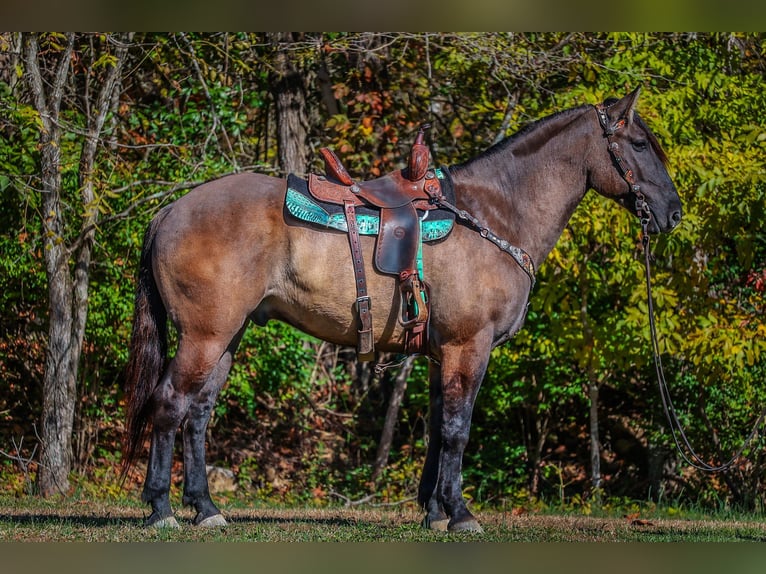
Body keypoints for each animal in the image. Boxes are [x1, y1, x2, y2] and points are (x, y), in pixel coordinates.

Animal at [124, 90, 684, 536]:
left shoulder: (441, 353)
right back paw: (161, 509)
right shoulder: (468, 347)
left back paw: (206, 508)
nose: (674, 213)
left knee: (198, 413)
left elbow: (439, 427)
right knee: (170, 404)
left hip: (227, 336)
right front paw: (461, 514)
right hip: (205, 337)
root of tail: (170, 211)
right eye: (639, 145)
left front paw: (435, 511)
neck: (495, 214)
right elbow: (458, 428)